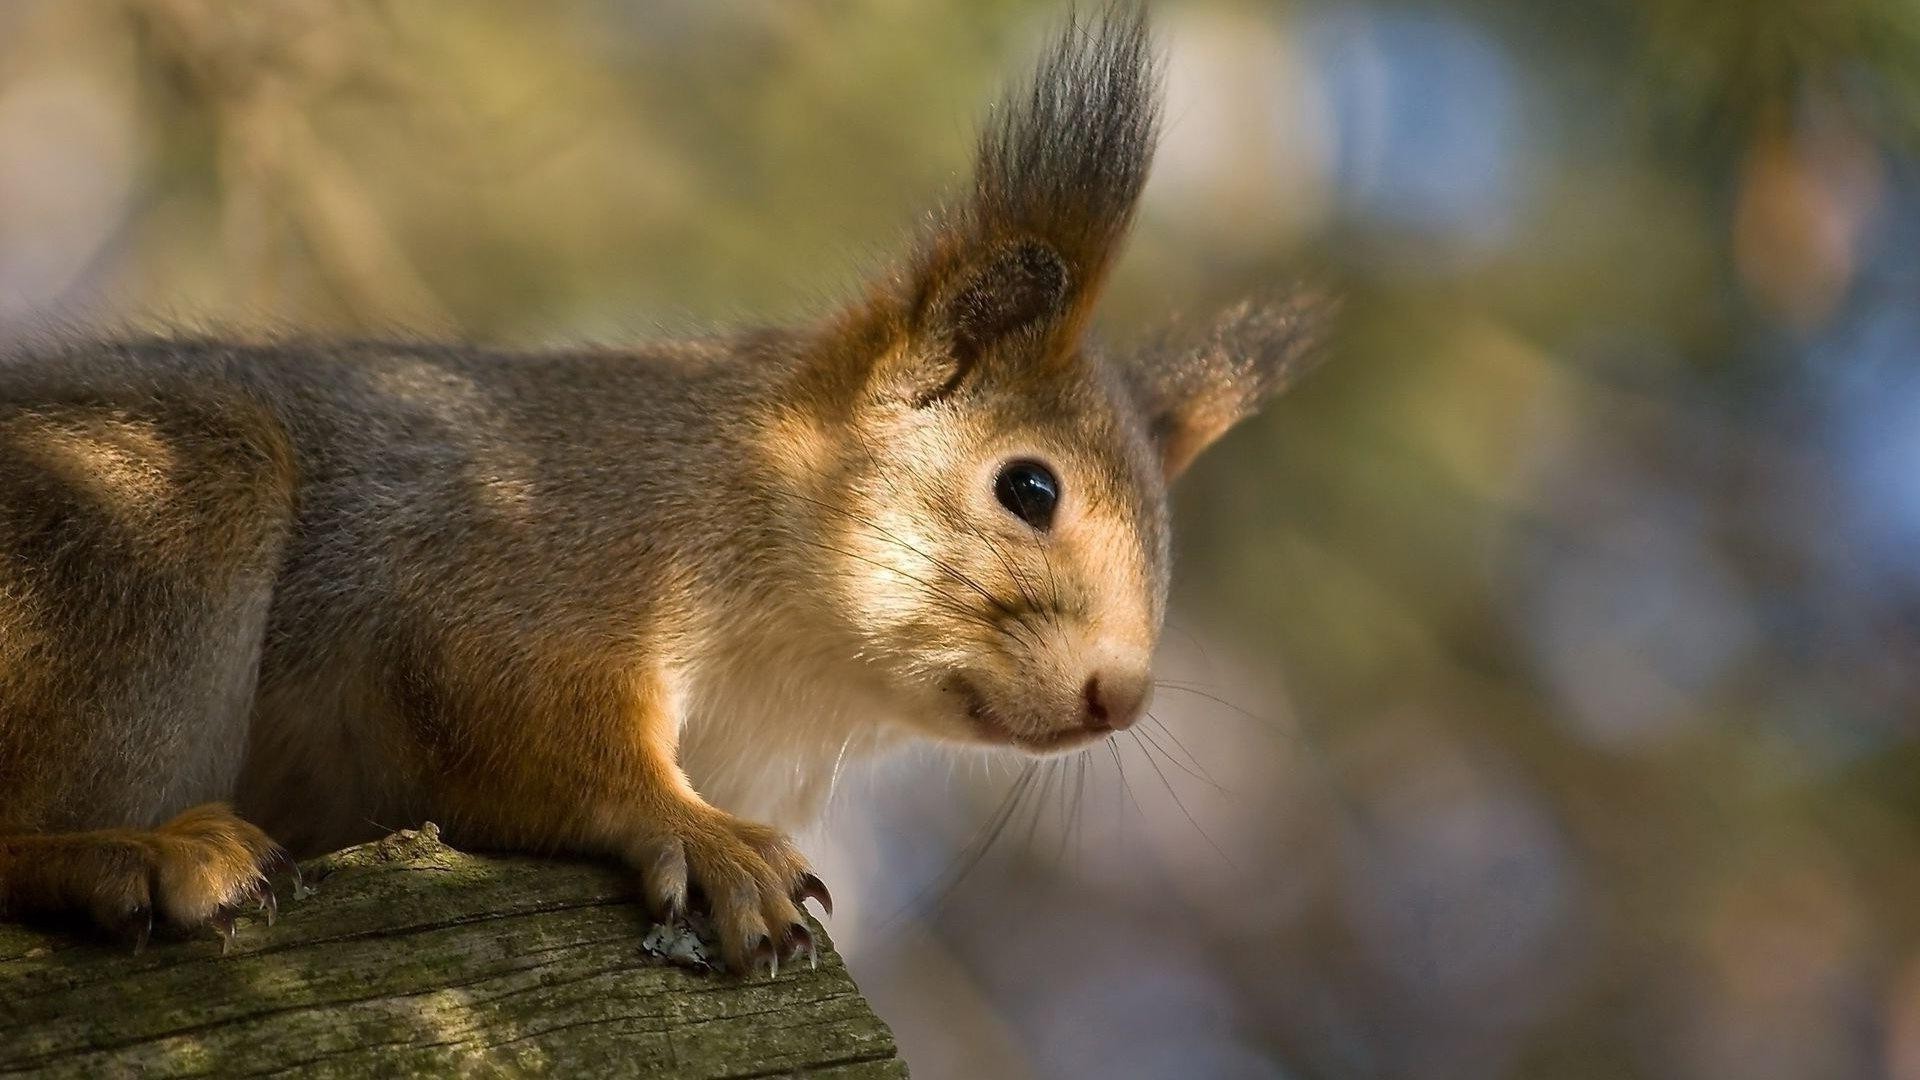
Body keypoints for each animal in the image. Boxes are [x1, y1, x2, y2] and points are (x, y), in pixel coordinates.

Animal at [0, 4, 1336, 972]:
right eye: (1029, 489)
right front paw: (704, 836)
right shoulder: (540, 553)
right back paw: (134, 855)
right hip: (151, 511)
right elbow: (515, 714)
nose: (1122, 695)